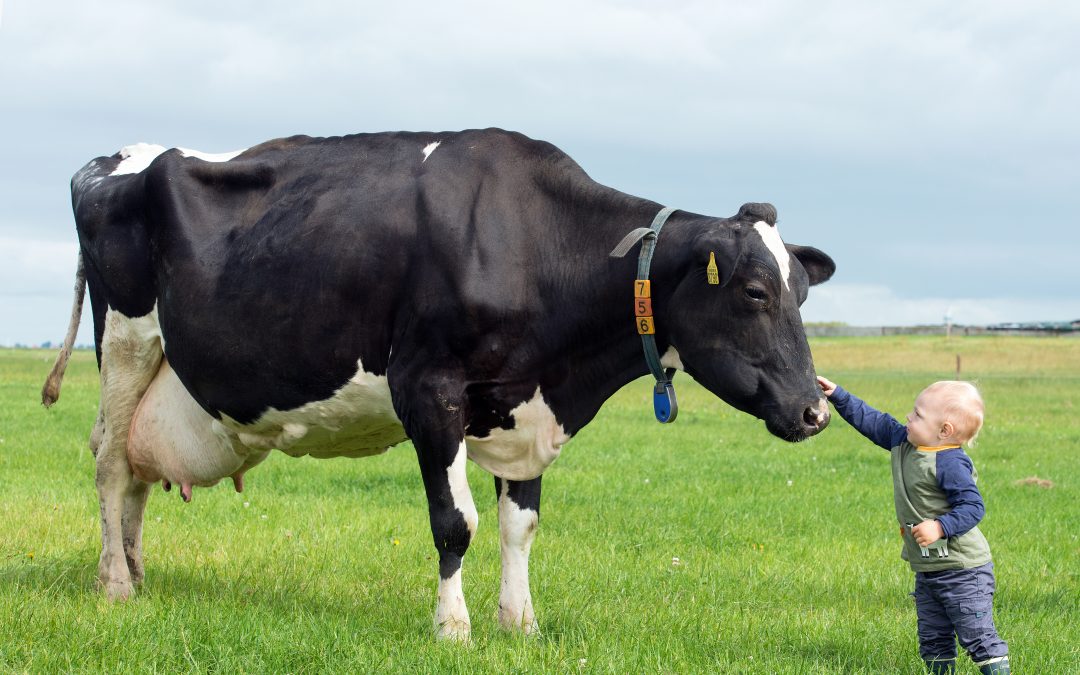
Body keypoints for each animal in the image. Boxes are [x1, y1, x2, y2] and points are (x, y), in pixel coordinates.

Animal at [42, 129, 833, 639]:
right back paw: (116, 584)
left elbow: (520, 523)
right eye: (756, 292)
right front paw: (454, 626)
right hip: (127, 340)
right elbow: (456, 521)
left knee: (135, 469)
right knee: (111, 465)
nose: (815, 410)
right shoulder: (428, 388)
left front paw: (520, 623)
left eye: (801, 290)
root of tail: (114, 159)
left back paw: (135, 568)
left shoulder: (523, 405)